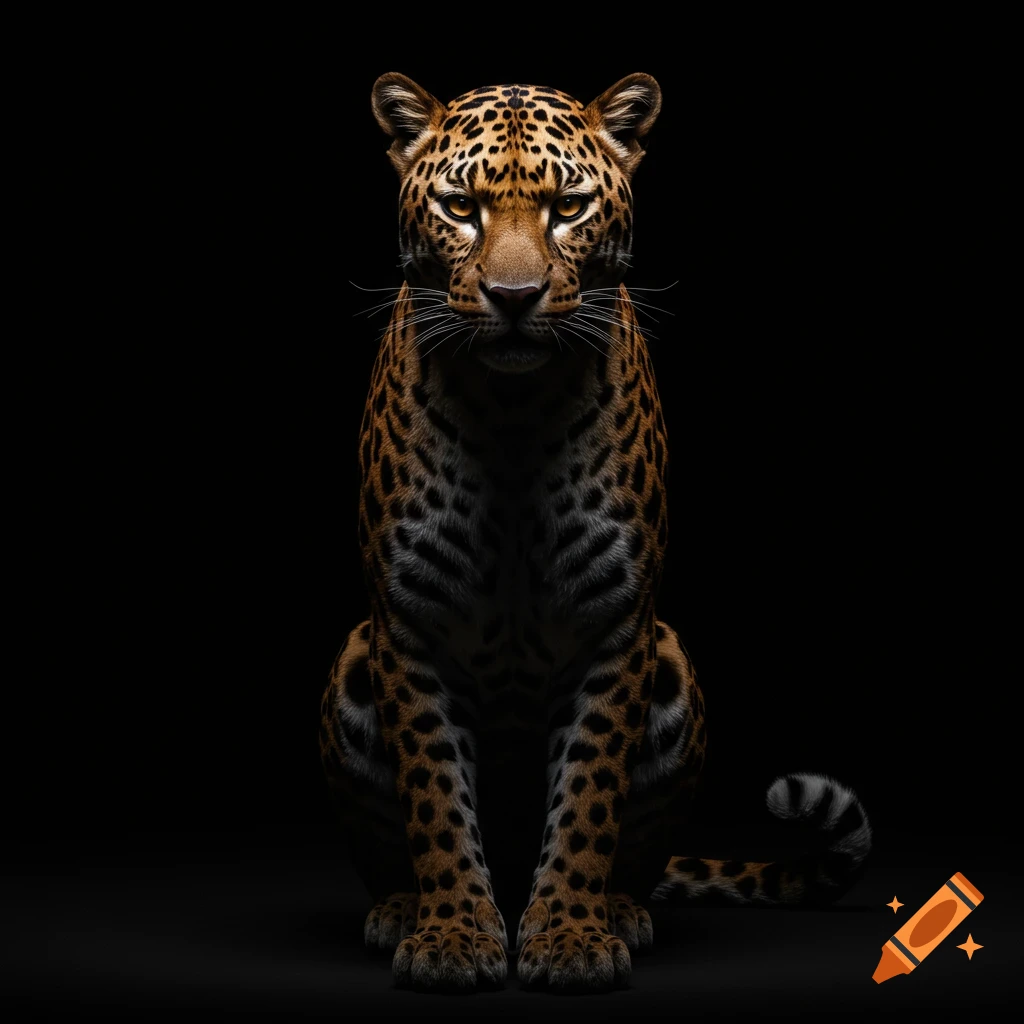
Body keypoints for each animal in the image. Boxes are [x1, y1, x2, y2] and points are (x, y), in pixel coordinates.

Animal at [319, 72, 873, 994]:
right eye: (461, 207)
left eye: (568, 207)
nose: (513, 300)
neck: (512, 417)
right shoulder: (407, 624)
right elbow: (434, 798)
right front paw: (453, 936)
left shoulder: (617, 625)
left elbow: (587, 800)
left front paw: (572, 938)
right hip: (354, 659)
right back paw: (400, 907)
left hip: (672, 662)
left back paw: (620, 909)